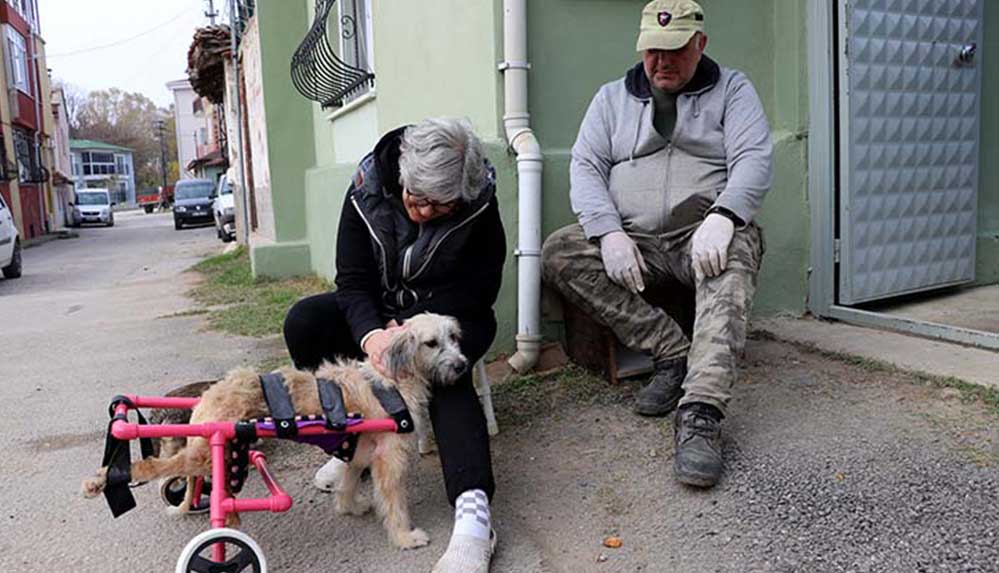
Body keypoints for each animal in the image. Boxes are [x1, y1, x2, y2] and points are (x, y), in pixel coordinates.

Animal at [80, 312, 466, 548]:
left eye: (453, 337)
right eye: (432, 343)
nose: (463, 365)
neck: (392, 379)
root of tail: (207, 396)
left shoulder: (358, 449)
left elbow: (348, 480)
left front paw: (350, 506)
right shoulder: (390, 458)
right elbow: (394, 503)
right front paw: (405, 537)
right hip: (205, 453)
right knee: (154, 466)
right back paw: (108, 477)